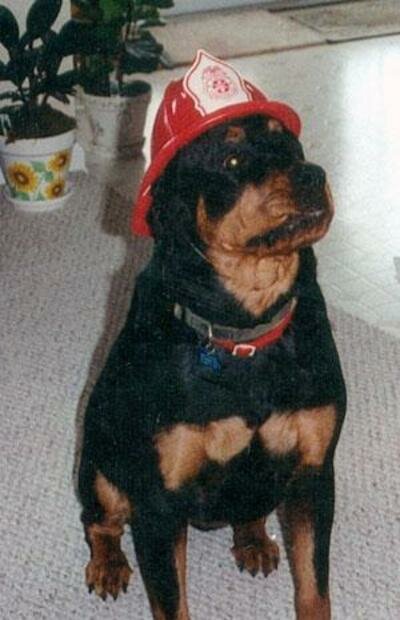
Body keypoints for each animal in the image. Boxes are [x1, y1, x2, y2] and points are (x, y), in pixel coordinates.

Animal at [77, 105, 344, 616]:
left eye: (290, 146)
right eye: (232, 160)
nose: (312, 174)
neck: (247, 334)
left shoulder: (314, 472)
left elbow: (314, 590)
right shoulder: (159, 504)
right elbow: (171, 602)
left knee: (250, 513)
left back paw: (254, 541)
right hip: (99, 462)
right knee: (100, 521)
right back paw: (108, 566)